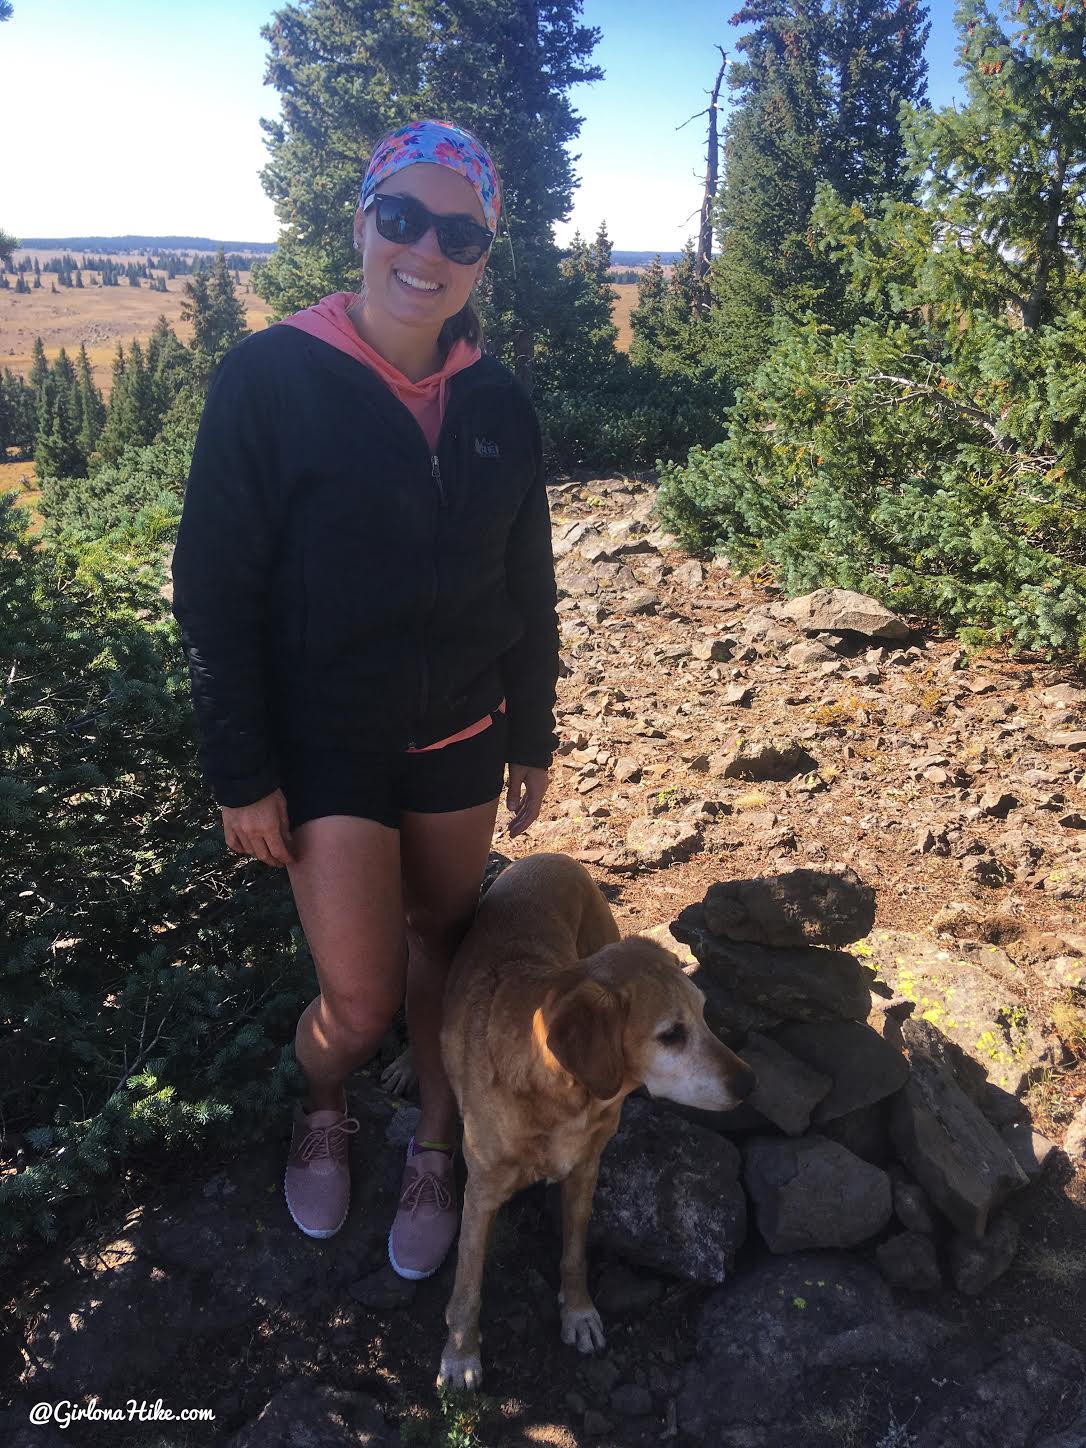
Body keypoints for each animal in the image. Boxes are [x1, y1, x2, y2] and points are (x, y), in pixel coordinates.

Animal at [434, 851, 758, 1384]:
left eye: (705, 1013)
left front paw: (579, 1312)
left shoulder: (584, 1172)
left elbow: (574, 1254)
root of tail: (552, 856)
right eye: (671, 1034)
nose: (749, 1083)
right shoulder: (479, 1195)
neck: (562, 1096)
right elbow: (467, 1283)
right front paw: (461, 1355)